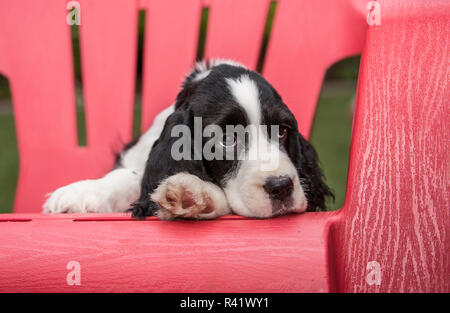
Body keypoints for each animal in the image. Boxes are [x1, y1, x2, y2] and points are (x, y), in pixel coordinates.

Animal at [44, 59, 332, 219]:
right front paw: (80, 193)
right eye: (227, 139)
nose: (281, 186)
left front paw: (191, 193)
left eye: (282, 131)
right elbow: (131, 176)